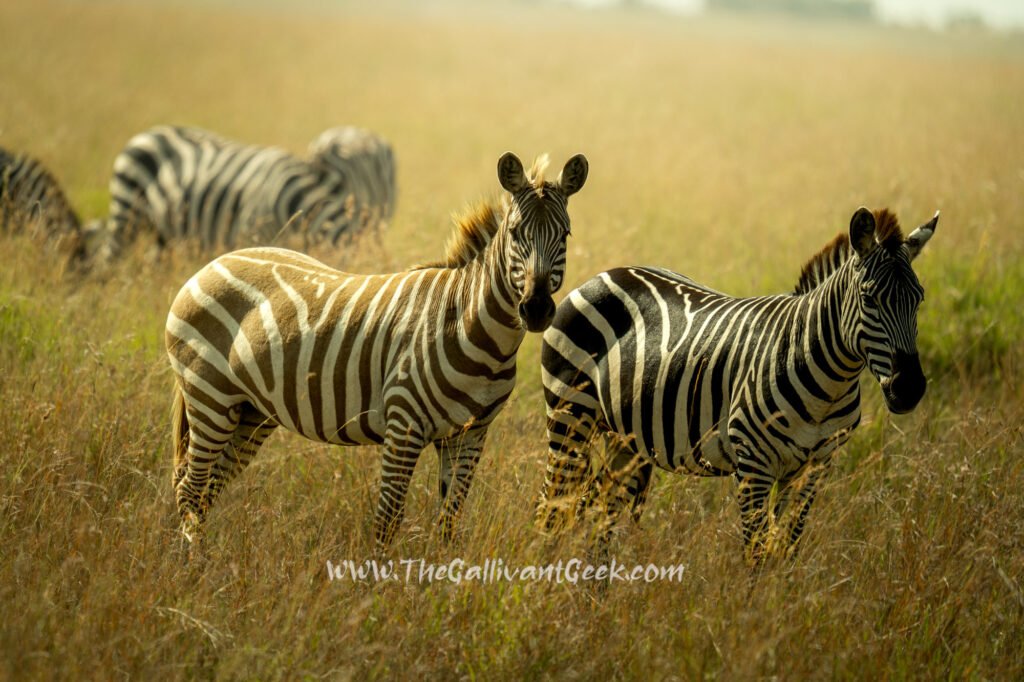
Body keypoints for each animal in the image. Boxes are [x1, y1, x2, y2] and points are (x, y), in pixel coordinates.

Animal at [166, 151, 589, 547]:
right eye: (516, 233)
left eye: (566, 235)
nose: (536, 309)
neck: (471, 326)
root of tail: (211, 264)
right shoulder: (404, 425)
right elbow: (388, 519)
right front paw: (378, 577)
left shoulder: (470, 434)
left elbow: (449, 522)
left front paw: (444, 575)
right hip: (211, 398)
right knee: (191, 487)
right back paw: (193, 565)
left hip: (251, 412)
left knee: (207, 487)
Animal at [536, 206, 938, 565]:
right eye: (869, 298)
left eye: (919, 298)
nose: (909, 388)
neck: (829, 382)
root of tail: (604, 273)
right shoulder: (753, 463)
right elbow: (756, 554)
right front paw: (750, 604)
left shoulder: (814, 467)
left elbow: (787, 548)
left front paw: (780, 600)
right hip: (570, 420)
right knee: (551, 509)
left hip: (624, 442)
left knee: (601, 516)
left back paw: (594, 596)